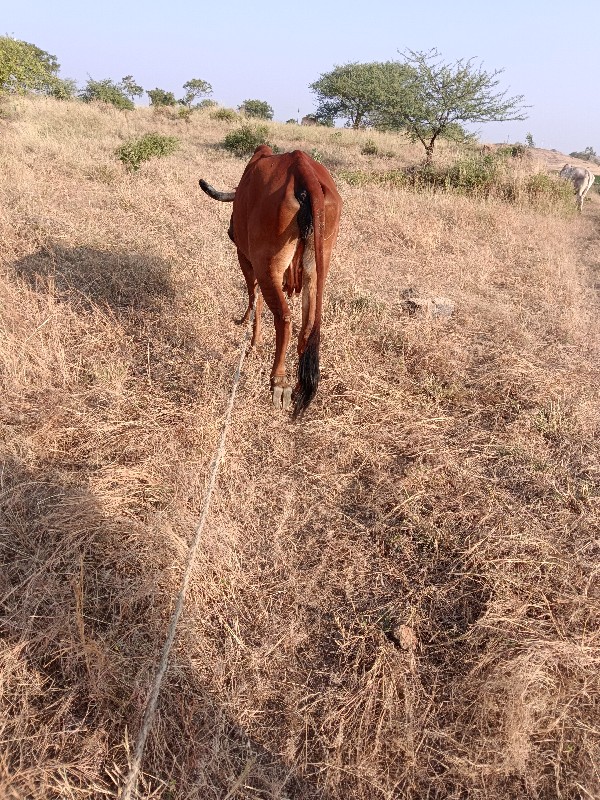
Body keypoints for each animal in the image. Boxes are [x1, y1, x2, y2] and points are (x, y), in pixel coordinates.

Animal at [199, 146, 342, 416]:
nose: (230, 230)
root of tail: (301, 166)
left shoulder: (246, 258)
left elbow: (253, 298)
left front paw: (252, 340)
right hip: (318, 265)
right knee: (308, 325)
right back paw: (299, 385)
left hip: (268, 266)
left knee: (283, 318)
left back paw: (279, 381)